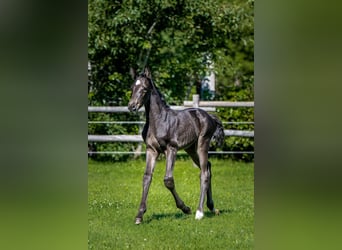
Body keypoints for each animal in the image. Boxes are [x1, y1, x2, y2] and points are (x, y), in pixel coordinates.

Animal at [128, 67, 224, 225]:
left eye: (144, 89)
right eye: (132, 88)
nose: (132, 106)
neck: (158, 121)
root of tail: (210, 116)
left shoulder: (171, 149)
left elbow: (168, 180)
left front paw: (185, 208)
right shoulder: (151, 150)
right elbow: (147, 177)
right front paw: (139, 215)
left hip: (202, 144)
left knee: (204, 172)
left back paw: (199, 212)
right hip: (190, 149)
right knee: (208, 167)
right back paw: (211, 207)